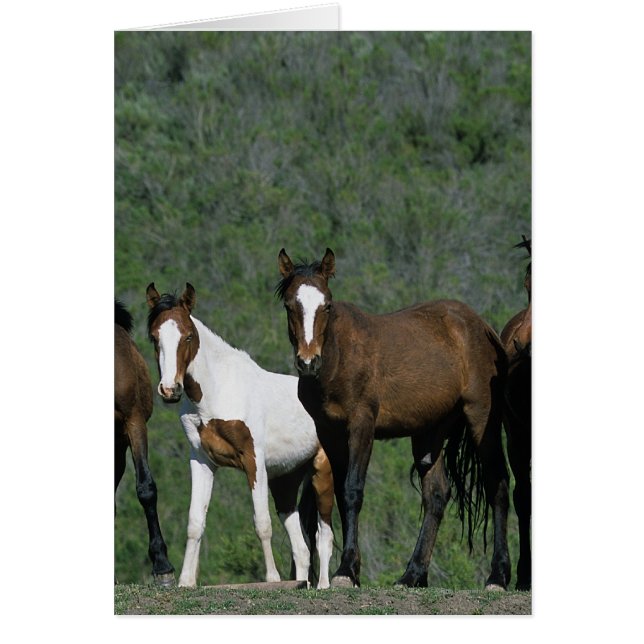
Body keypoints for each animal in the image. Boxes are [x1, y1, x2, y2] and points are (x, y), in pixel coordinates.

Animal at [145, 283, 334, 588]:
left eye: (188, 336)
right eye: (154, 337)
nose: (170, 389)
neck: (218, 390)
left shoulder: (253, 461)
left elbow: (262, 524)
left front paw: (271, 579)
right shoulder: (202, 461)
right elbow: (195, 522)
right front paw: (186, 581)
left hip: (322, 472)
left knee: (324, 535)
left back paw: (323, 586)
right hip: (285, 481)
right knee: (302, 549)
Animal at [277, 248, 511, 590]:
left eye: (327, 304)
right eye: (289, 305)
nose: (308, 362)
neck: (338, 358)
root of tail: (481, 327)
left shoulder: (362, 426)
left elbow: (353, 491)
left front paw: (346, 570)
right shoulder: (331, 434)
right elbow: (342, 494)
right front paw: (353, 569)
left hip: (482, 420)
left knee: (499, 485)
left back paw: (498, 575)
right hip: (429, 433)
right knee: (436, 495)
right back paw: (413, 574)